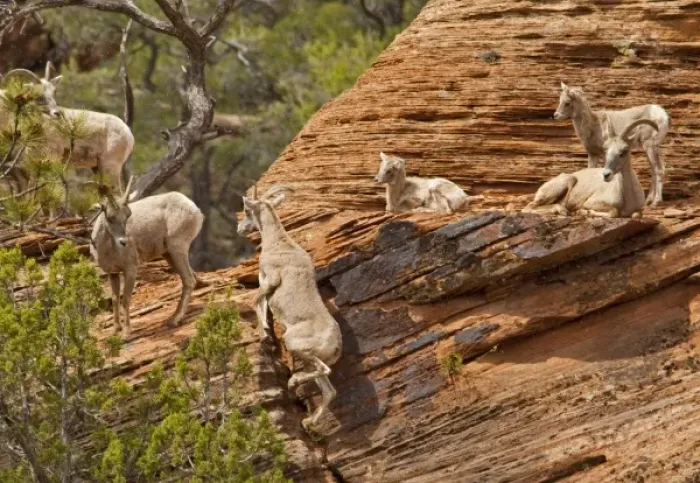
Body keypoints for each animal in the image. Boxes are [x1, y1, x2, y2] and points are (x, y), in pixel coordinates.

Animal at [0, 63, 134, 192]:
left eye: (54, 93)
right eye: (37, 95)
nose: (58, 113)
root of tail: (128, 134)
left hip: (109, 168)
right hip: (98, 169)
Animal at [90, 177, 204, 336]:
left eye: (127, 215)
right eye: (110, 217)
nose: (124, 242)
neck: (106, 249)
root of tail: (195, 210)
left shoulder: (131, 269)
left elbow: (125, 299)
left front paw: (126, 333)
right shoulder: (113, 273)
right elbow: (115, 299)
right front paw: (115, 330)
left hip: (177, 249)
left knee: (189, 280)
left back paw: (173, 320)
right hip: (168, 254)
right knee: (192, 278)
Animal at [238, 187, 342, 431]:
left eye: (247, 209)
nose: (240, 228)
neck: (279, 243)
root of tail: (335, 344)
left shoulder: (270, 281)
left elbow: (255, 301)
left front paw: (264, 334)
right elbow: (261, 304)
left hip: (296, 345)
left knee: (324, 371)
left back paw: (293, 382)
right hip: (308, 358)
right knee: (329, 391)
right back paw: (308, 423)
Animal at [523, 119, 658, 218]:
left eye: (624, 150)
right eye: (605, 149)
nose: (606, 175)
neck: (628, 198)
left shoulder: (638, 210)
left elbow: (636, 215)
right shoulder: (592, 202)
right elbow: (613, 212)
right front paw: (581, 212)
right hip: (565, 183)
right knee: (528, 208)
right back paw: (562, 210)